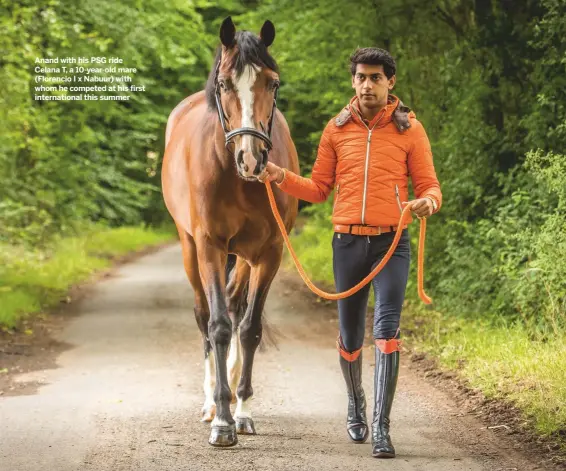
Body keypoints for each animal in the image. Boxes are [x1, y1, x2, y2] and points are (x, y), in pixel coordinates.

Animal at [162, 16, 300, 448]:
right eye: (224, 83)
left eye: (273, 82)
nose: (251, 159)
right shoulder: (209, 246)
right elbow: (219, 327)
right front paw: (222, 420)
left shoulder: (269, 253)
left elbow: (249, 328)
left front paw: (242, 411)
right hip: (191, 250)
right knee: (204, 314)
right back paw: (209, 403)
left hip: (242, 258)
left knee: (238, 307)